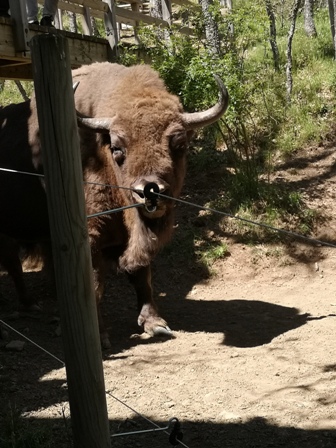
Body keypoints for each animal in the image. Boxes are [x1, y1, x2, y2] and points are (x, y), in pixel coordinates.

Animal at [0, 62, 228, 346]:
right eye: (118, 148)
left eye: (180, 144)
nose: (150, 192)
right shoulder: (89, 238)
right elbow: (95, 284)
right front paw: (100, 335)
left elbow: (143, 276)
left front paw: (155, 324)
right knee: (13, 262)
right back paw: (30, 305)